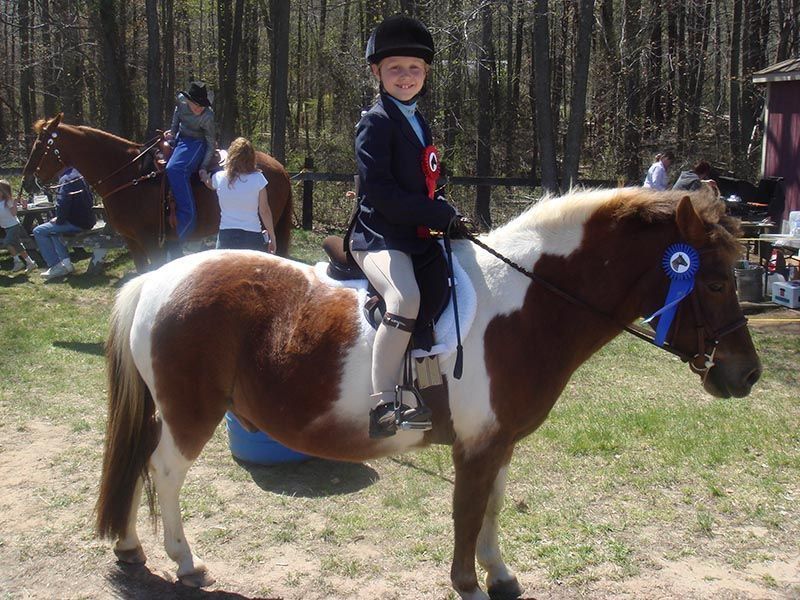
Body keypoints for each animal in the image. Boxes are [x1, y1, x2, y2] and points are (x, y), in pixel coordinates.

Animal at [20, 113, 293, 272]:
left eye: (41, 145)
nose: (28, 181)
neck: (129, 175)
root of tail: (279, 168)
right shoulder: (132, 241)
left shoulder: (150, 240)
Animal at [95, 185, 761, 600]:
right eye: (716, 280)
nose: (747, 375)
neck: (526, 303)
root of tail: (157, 278)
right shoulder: (476, 444)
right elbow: (467, 510)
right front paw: (468, 583)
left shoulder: (498, 441)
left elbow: (492, 505)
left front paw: (499, 574)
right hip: (190, 414)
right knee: (161, 472)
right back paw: (182, 561)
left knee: (138, 466)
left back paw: (131, 550)